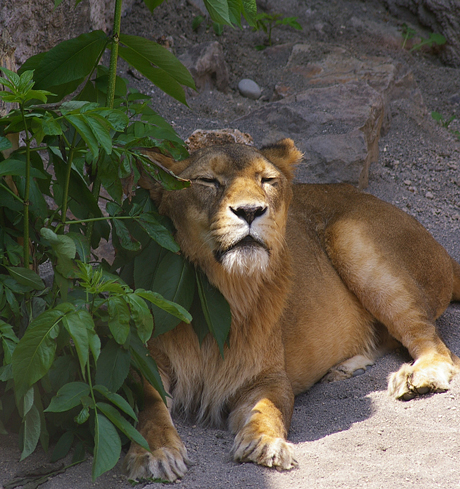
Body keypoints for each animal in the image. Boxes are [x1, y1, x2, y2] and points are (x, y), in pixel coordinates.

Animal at [122, 137, 460, 480]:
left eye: (267, 180)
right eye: (208, 181)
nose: (250, 210)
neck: (226, 293)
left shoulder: (270, 376)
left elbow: (270, 409)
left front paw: (265, 444)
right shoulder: (145, 362)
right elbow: (149, 407)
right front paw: (156, 455)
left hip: (352, 237)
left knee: (434, 343)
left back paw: (419, 377)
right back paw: (345, 368)